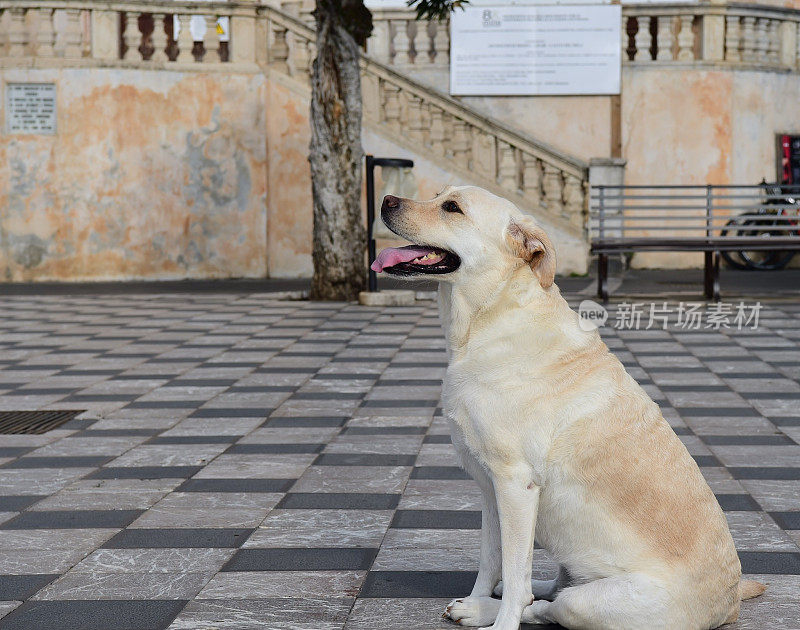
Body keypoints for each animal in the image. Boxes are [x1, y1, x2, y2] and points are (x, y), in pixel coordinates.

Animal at [372, 188, 764, 630]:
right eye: (439, 195)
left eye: (452, 208)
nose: (386, 199)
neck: (491, 317)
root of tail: (731, 603)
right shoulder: (489, 490)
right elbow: (491, 563)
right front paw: (476, 601)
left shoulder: (515, 485)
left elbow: (515, 576)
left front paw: (500, 623)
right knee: (550, 586)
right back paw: (483, 607)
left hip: (590, 601)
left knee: (550, 603)